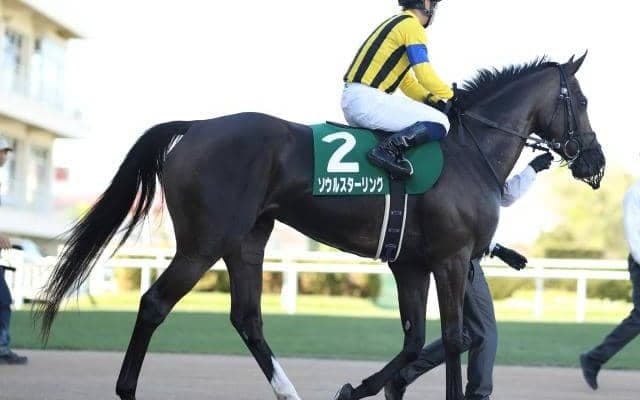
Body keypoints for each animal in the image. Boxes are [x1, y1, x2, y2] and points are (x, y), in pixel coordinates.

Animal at [37, 53, 605, 400]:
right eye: (581, 101)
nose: (594, 161)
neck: (470, 152)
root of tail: (196, 127)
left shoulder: (412, 265)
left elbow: (417, 341)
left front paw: (358, 388)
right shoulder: (450, 260)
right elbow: (455, 338)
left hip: (247, 240)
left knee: (247, 318)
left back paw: (288, 391)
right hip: (204, 241)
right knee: (155, 303)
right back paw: (127, 389)